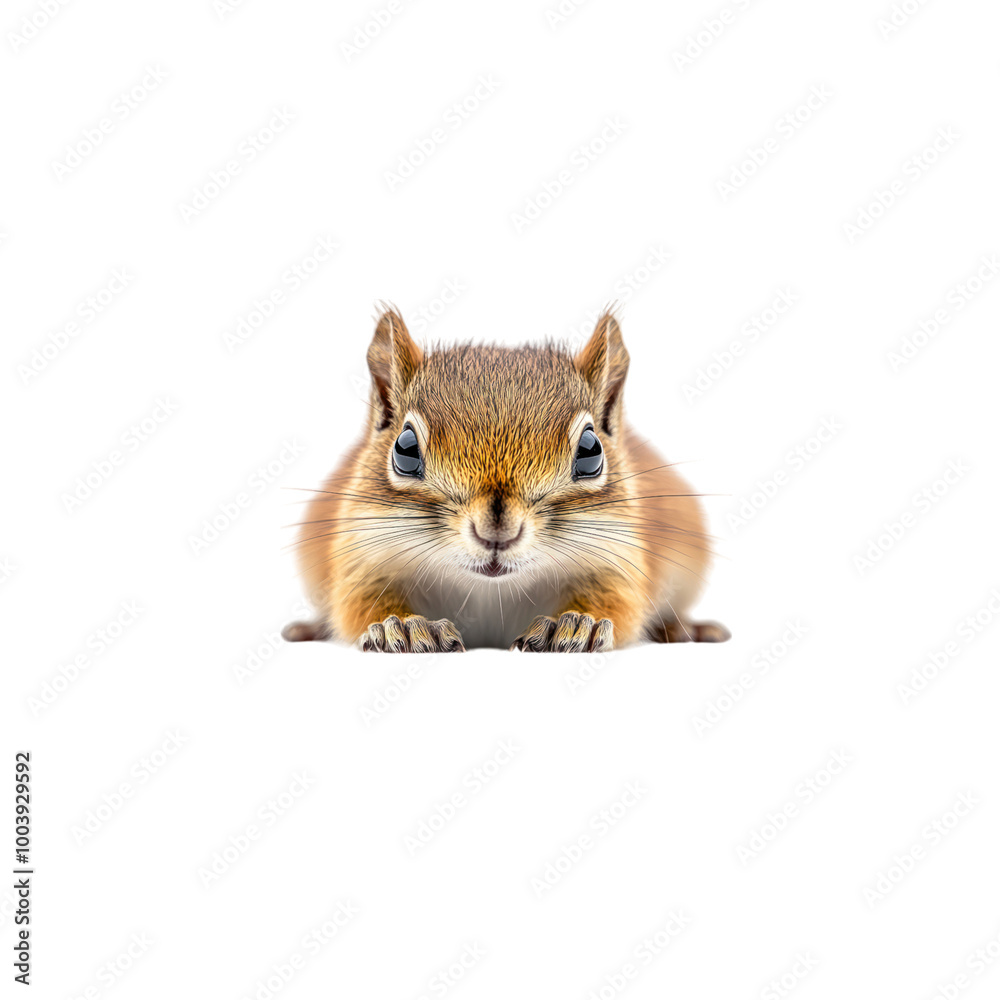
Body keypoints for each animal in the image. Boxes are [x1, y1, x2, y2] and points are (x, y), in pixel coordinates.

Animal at [283, 307, 728, 653]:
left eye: (591, 451)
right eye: (405, 449)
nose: (496, 530)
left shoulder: (619, 560)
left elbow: (619, 603)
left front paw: (575, 624)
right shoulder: (361, 557)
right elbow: (358, 604)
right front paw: (406, 627)